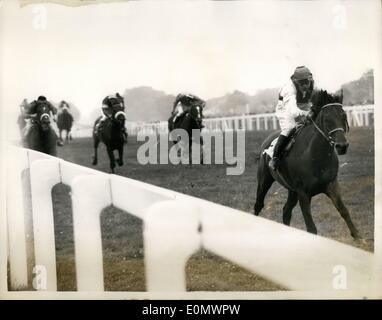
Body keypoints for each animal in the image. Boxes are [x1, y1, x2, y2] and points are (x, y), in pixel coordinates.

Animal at [254, 89, 362, 239]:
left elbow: (344, 210)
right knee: (258, 205)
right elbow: (311, 228)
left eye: (343, 115)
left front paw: (358, 236)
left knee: (286, 210)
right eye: (327, 119)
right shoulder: (303, 193)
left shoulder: (331, 185)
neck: (316, 156)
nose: (342, 146)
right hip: (264, 180)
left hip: (291, 190)